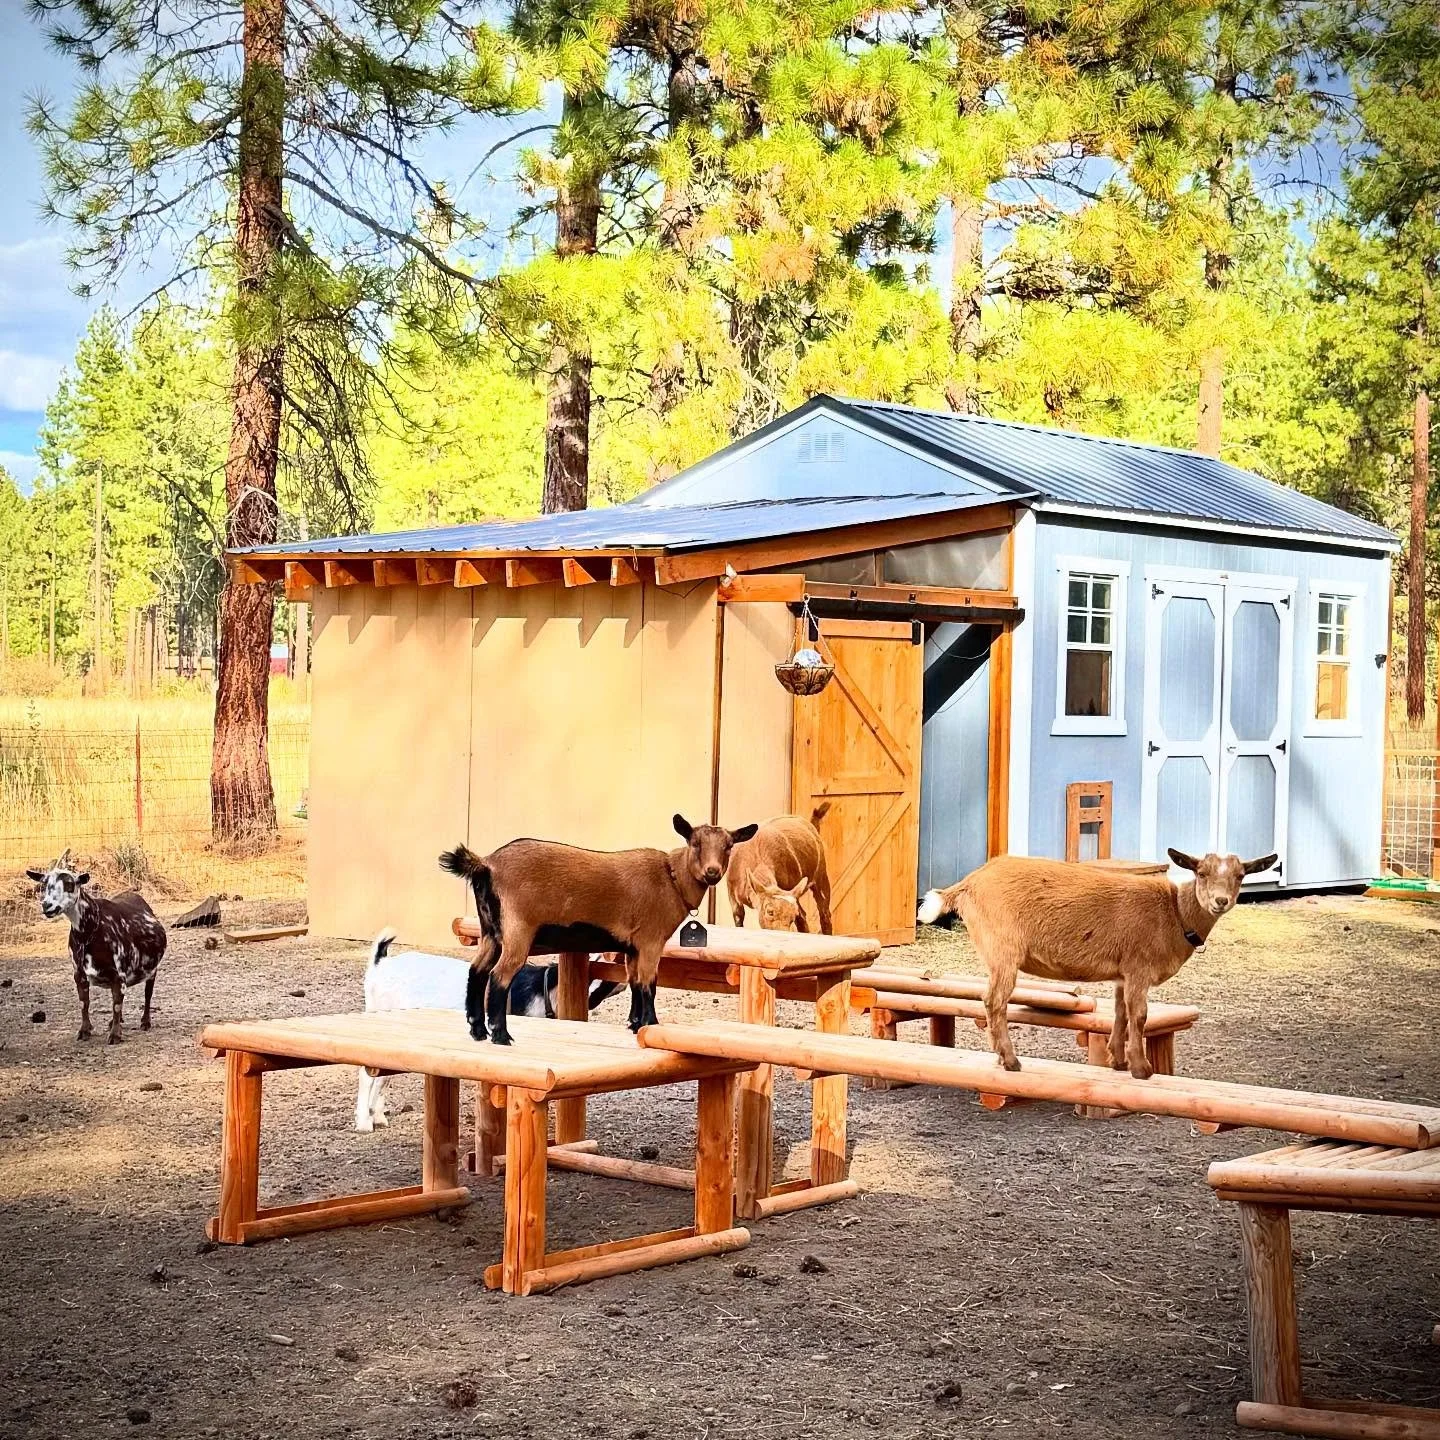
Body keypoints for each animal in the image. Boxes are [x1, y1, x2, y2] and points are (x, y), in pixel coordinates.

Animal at [26, 850, 167, 1044]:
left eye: (70, 884)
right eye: (44, 884)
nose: (48, 906)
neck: (90, 931)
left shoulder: (119, 974)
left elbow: (116, 1005)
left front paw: (115, 1035)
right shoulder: (79, 974)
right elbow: (84, 1003)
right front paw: (85, 1031)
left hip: (152, 971)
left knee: (147, 994)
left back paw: (145, 1022)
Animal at [354, 930, 620, 1130]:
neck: (543, 989)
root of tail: (380, 964)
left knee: (382, 1076)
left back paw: (378, 1116)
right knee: (367, 1076)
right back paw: (364, 1122)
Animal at [439, 813, 758, 1045]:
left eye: (729, 845)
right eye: (695, 843)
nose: (712, 872)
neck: (671, 878)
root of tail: (485, 865)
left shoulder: (632, 946)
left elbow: (634, 981)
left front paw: (634, 1024)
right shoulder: (651, 940)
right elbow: (649, 984)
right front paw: (651, 1024)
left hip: (491, 931)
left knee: (477, 971)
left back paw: (478, 1031)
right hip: (518, 930)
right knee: (499, 976)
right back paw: (501, 1036)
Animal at [726, 803, 833, 933]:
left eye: (792, 915)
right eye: (770, 912)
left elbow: (801, 915)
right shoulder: (733, 897)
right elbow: (738, 918)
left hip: (821, 875)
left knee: (823, 913)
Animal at [917, 847, 1275, 1078]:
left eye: (1241, 875)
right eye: (1201, 873)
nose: (1220, 901)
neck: (1174, 913)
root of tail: (967, 884)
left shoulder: (1123, 973)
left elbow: (1120, 1012)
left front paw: (1118, 1061)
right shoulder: (1139, 967)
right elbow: (1140, 1016)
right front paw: (1141, 1069)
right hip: (1003, 950)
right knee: (994, 1001)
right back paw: (1011, 1061)